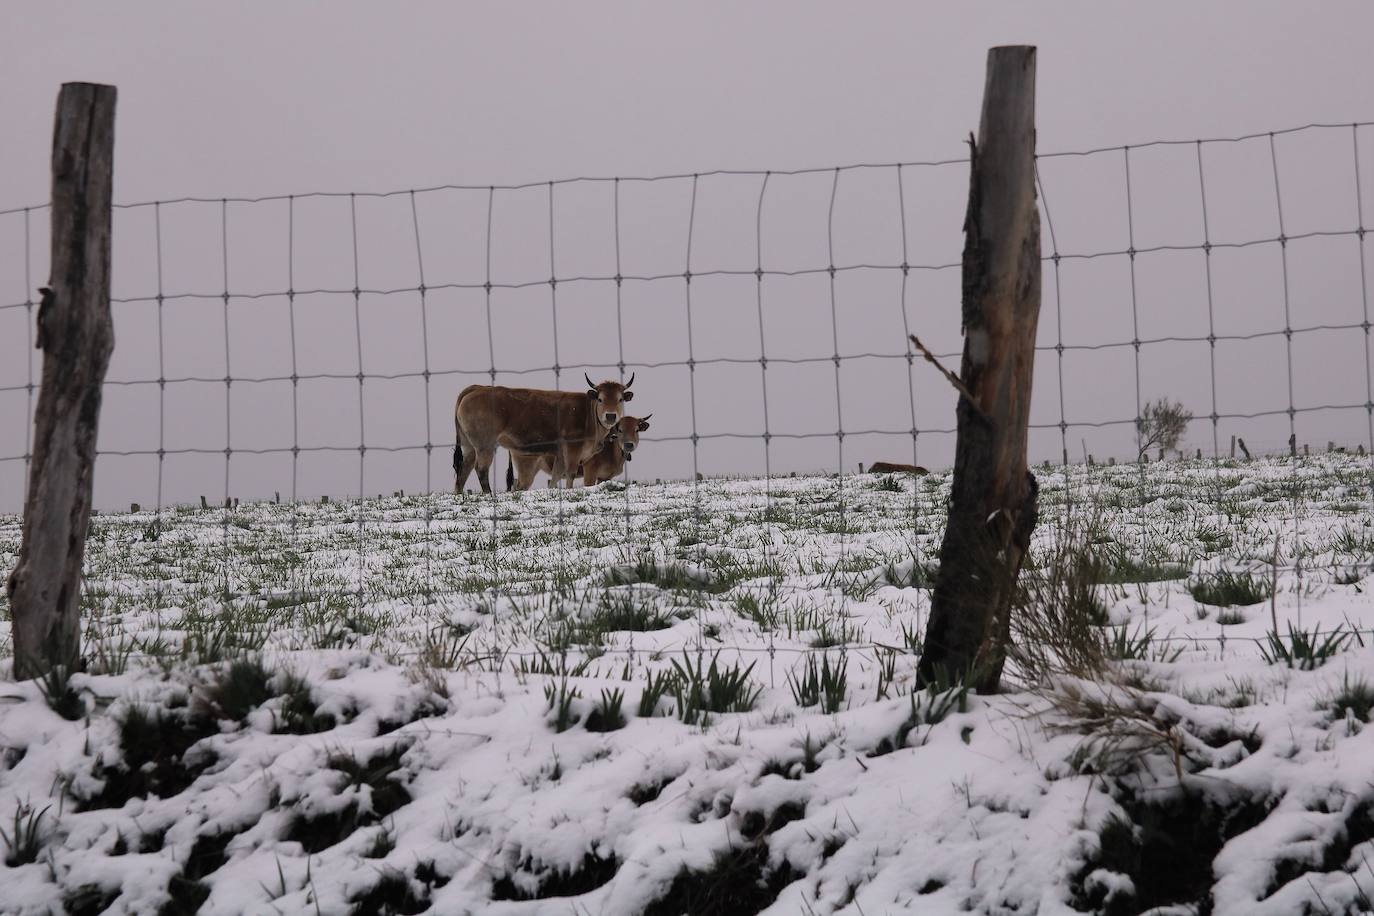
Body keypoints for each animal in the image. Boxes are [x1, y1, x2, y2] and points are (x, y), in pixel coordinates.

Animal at [458, 373, 634, 494]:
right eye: (600, 399)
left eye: (620, 399)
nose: (610, 416)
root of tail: (478, 388)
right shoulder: (573, 450)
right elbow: (570, 473)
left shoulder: (560, 454)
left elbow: (556, 476)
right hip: (485, 445)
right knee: (481, 469)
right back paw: (488, 493)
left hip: (469, 446)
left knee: (464, 470)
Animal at [508, 414, 651, 491]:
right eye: (620, 430)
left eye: (636, 430)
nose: (629, 444)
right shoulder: (590, 471)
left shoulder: (605, 477)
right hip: (527, 471)